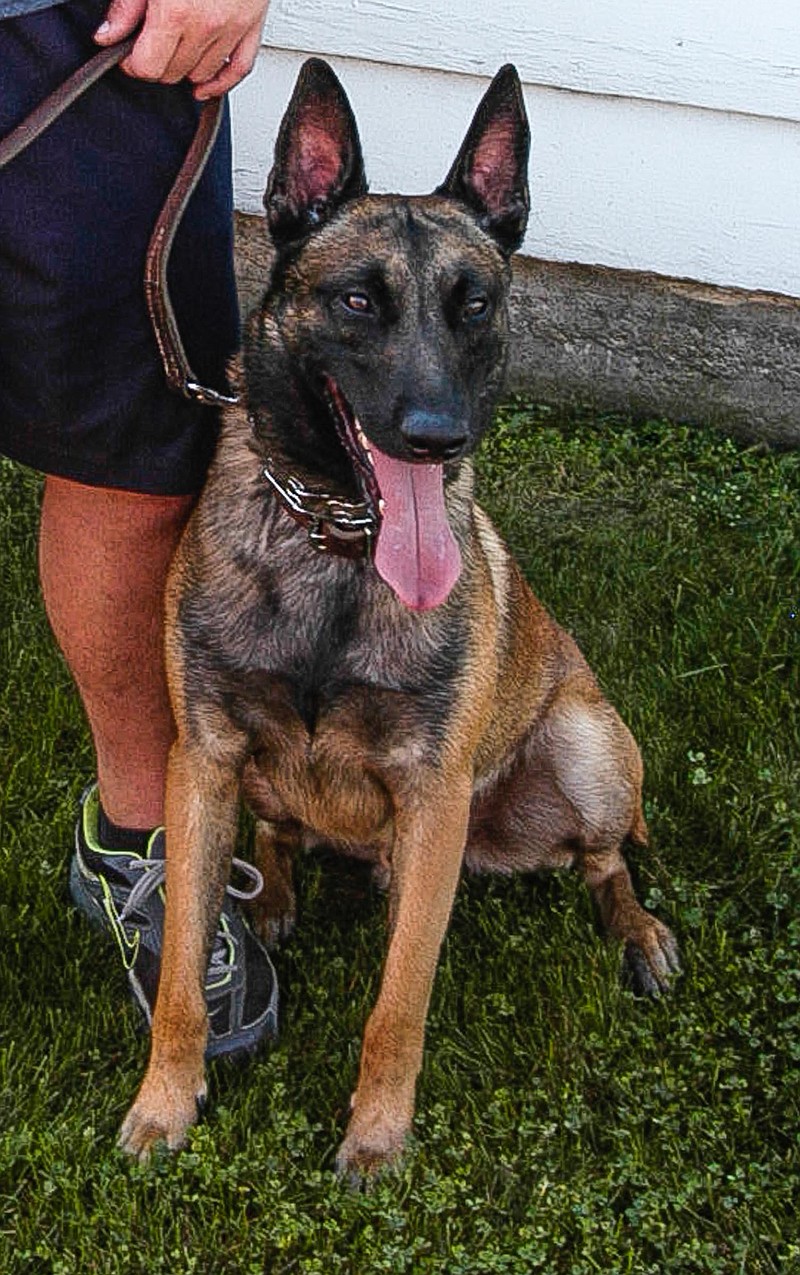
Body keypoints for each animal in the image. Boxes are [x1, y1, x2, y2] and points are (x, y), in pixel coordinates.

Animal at [118, 59, 683, 1173]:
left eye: (475, 306)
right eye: (354, 302)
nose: (435, 437)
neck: (332, 538)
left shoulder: (433, 801)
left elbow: (399, 1005)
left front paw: (377, 1136)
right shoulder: (200, 762)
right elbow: (181, 983)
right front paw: (165, 1102)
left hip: (586, 746)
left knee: (604, 863)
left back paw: (637, 933)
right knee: (282, 835)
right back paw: (276, 893)